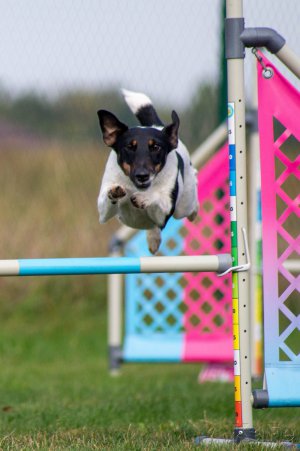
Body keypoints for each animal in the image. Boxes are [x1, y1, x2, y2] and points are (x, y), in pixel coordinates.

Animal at [97, 89, 198, 254]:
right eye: (130, 147)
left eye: (156, 147)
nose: (142, 176)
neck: (135, 187)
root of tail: (157, 125)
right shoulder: (103, 213)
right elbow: (107, 199)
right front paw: (114, 192)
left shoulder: (164, 211)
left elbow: (157, 199)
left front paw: (144, 198)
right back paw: (153, 240)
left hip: (184, 205)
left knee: (190, 204)